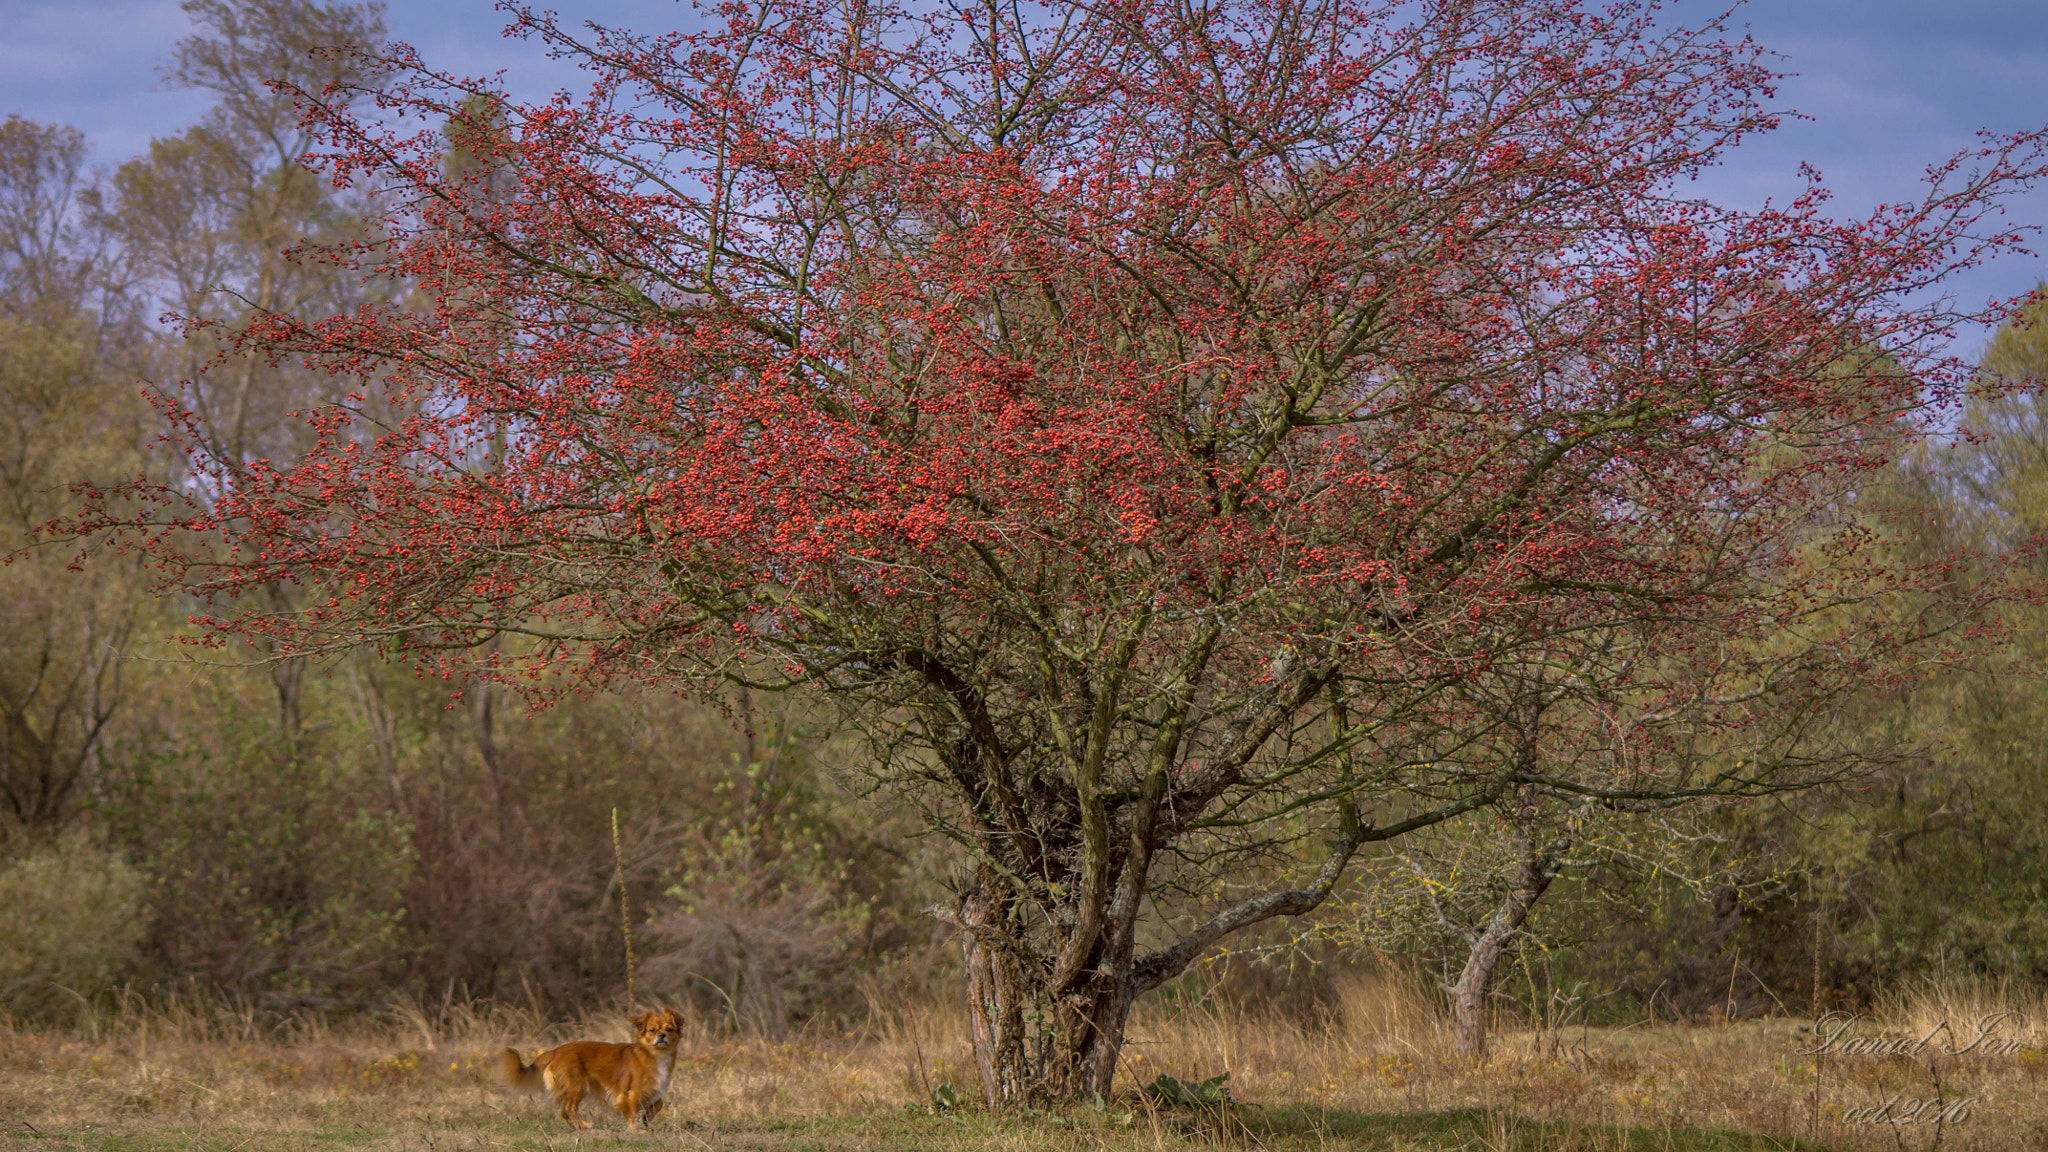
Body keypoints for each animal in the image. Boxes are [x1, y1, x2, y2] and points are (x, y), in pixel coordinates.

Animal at [503, 1000, 688, 1123]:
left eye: (669, 1029)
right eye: (652, 1030)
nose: (662, 1035)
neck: (654, 1055)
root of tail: (555, 1052)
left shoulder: (654, 1091)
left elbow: (659, 1104)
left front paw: (647, 1119)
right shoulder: (630, 1094)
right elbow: (632, 1114)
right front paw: (635, 1130)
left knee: (565, 1111)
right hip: (578, 1086)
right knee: (569, 1109)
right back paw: (585, 1126)